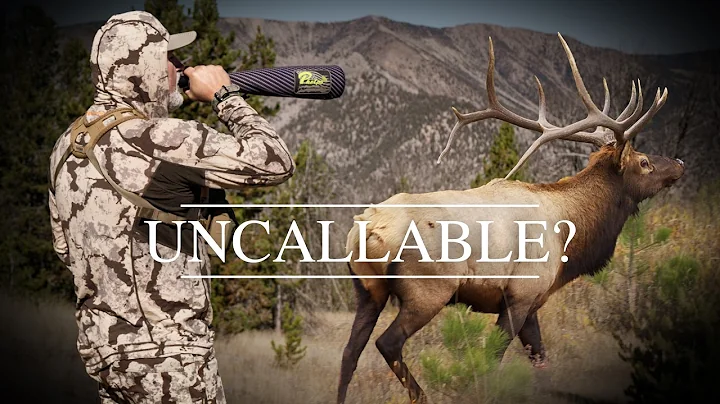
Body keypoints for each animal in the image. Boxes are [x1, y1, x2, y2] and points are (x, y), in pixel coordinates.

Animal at [336, 33, 685, 404]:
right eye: (644, 162)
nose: (679, 163)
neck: (570, 237)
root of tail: (366, 231)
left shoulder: (532, 304)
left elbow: (542, 361)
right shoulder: (520, 294)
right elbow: (491, 359)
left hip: (367, 291)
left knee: (349, 353)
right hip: (428, 290)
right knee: (387, 343)